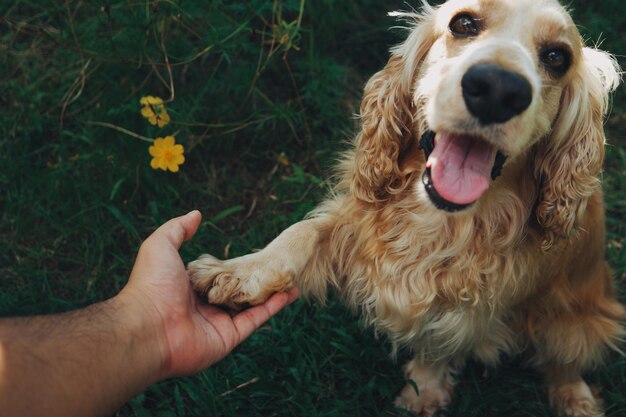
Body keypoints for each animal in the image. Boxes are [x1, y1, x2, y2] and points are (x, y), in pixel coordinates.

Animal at [188, 1, 620, 414]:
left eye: (557, 57)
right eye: (463, 24)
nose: (498, 89)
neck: (441, 219)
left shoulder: (472, 303)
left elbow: (439, 339)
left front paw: (423, 389)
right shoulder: (360, 222)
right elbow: (301, 232)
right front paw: (240, 272)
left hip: (573, 320)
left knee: (565, 361)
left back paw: (576, 399)